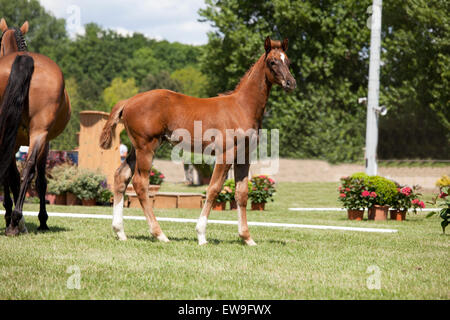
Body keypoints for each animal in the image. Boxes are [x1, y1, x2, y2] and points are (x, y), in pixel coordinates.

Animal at [0, 19, 71, 235]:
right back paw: (16, 220)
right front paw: (40, 219)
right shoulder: (43, 141)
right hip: (38, 132)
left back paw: (14, 221)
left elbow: (12, 175)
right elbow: (38, 180)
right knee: (28, 169)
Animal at [100, 37, 296, 245]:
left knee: (121, 177)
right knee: (140, 183)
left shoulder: (244, 157)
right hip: (146, 147)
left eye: (288, 61)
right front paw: (201, 235)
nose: (291, 83)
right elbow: (213, 189)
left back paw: (120, 232)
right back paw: (159, 234)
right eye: (272, 61)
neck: (242, 107)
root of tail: (128, 101)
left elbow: (241, 193)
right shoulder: (225, 154)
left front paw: (247, 238)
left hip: (136, 149)